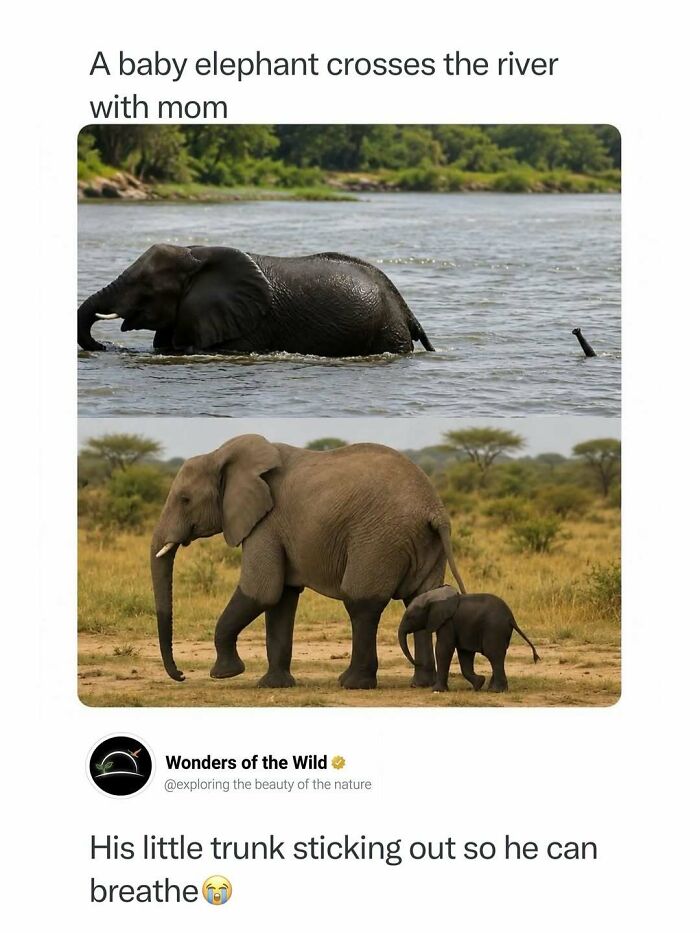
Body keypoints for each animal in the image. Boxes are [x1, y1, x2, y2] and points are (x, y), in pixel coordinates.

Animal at [150, 435, 465, 689]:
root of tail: (434, 509)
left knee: (361, 602)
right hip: (422, 542)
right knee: (420, 599)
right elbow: (281, 599)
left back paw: (352, 683)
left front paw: (225, 674)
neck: (219, 455)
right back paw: (421, 684)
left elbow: (261, 592)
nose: (181, 675)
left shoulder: (265, 523)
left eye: (185, 499)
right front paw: (273, 685)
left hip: (378, 539)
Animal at [398, 585, 540, 693]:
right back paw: (492, 688)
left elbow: (443, 649)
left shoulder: (447, 622)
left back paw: (496, 691)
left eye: (410, 617)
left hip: (494, 628)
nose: (418, 663)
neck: (433, 596)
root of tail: (511, 618)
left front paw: (437, 690)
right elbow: (465, 653)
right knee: (498, 656)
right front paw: (479, 684)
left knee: (493, 655)